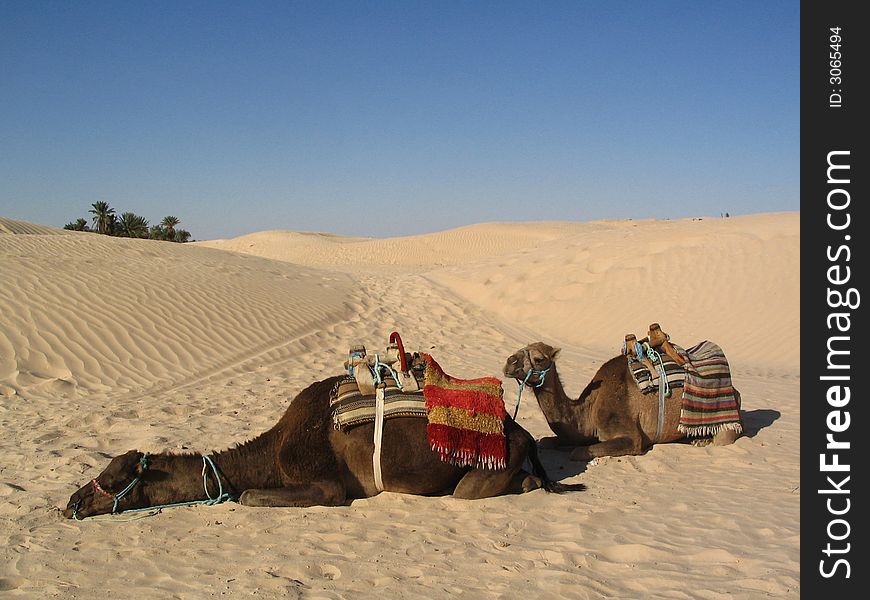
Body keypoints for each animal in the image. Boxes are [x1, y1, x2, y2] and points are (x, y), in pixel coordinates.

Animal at [66, 376, 560, 520]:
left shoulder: (326, 486)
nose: (71, 502)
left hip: (491, 464)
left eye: (113, 478)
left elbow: (248, 496)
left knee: (476, 489)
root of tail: (520, 429)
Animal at [504, 342, 744, 460]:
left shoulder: (630, 436)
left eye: (538, 359)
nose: (509, 361)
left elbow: (578, 452)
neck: (589, 409)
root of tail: (736, 391)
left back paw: (703, 441)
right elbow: (547, 441)